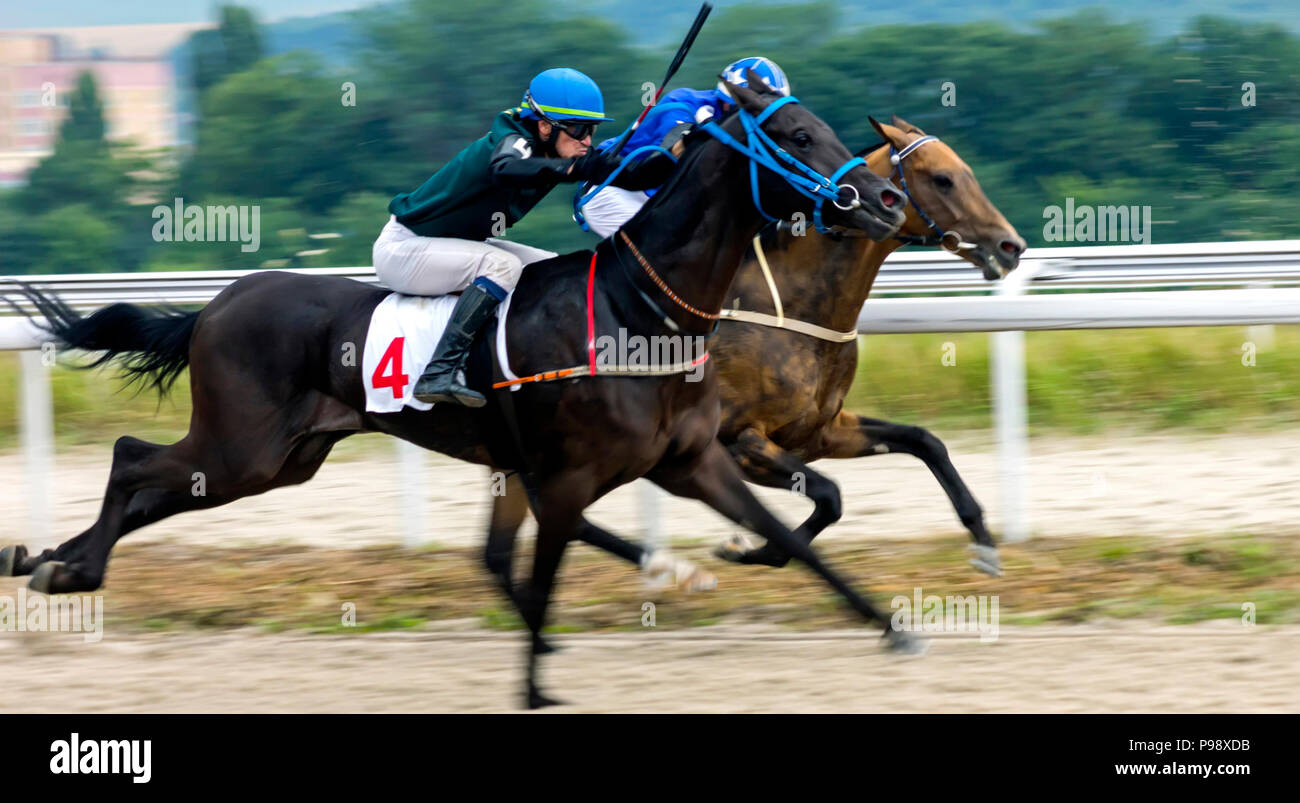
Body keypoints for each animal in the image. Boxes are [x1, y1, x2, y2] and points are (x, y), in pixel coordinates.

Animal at [2, 73, 915, 701]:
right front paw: (537, 685)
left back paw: (54, 564)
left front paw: (889, 626)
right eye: (796, 133)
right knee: (130, 456)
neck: (639, 306)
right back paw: (63, 566)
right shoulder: (569, 476)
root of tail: (213, 309)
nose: (883, 196)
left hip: (281, 460)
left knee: (151, 485)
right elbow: (544, 574)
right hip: (241, 447)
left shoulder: (691, 459)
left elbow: (790, 535)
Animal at [483, 112, 1019, 584]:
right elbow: (828, 496)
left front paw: (984, 544)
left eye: (966, 173)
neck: (795, 306)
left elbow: (923, 441)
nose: (1011, 247)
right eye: (943, 180)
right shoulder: (739, 441)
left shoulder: (820, 431)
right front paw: (746, 549)